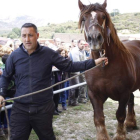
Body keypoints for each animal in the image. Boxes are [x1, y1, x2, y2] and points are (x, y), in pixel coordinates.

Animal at [78, 0, 140, 140]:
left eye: (103, 16)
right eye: (84, 19)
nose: (95, 38)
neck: (104, 67)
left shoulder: (123, 93)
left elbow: (120, 115)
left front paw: (120, 135)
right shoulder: (94, 94)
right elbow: (99, 118)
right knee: (132, 100)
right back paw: (131, 123)